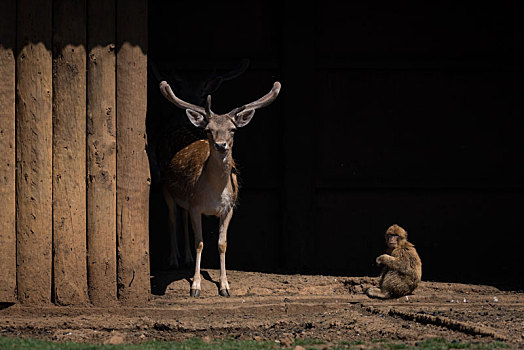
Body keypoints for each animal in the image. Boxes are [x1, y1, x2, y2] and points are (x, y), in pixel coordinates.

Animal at [159, 78, 280, 296]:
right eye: (208, 130)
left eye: (233, 129)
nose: (221, 145)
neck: (213, 194)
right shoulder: (196, 206)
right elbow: (200, 243)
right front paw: (195, 286)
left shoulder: (228, 208)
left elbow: (222, 244)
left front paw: (224, 286)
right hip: (165, 187)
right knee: (172, 218)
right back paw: (173, 260)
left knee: (182, 217)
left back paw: (186, 258)